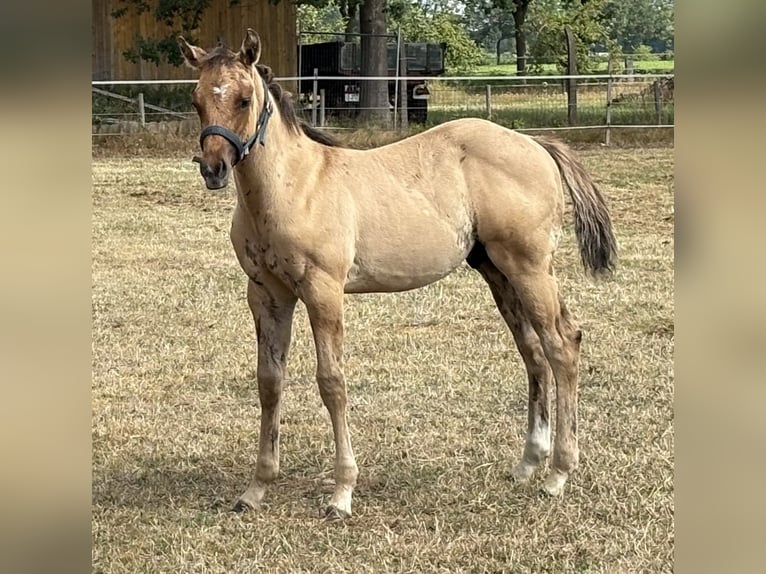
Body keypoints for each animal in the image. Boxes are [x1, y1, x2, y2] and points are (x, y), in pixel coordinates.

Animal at [177, 29, 617, 520]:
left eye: (244, 98)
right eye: (197, 99)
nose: (213, 169)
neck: (296, 186)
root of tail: (538, 145)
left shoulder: (323, 290)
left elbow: (332, 382)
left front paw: (342, 493)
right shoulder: (266, 295)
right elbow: (269, 382)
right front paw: (256, 488)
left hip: (530, 268)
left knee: (562, 345)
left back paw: (558, 475)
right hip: (497, 270)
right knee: (533, 352)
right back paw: (528, 464)